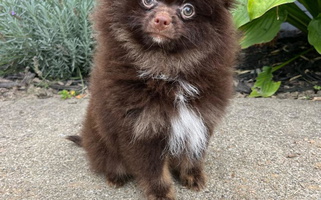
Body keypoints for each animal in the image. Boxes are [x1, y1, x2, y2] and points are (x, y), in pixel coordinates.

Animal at [67, 0, 238, 199]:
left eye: (188, 10)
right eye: (147, 2)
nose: (162, 19)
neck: (166, 71)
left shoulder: (200, 120)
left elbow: (193, 155)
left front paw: (192, 176)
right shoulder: (142, 130)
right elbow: (154, 170)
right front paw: (161, 193)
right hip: (101, 141)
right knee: (107, 160)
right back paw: (115, 176)